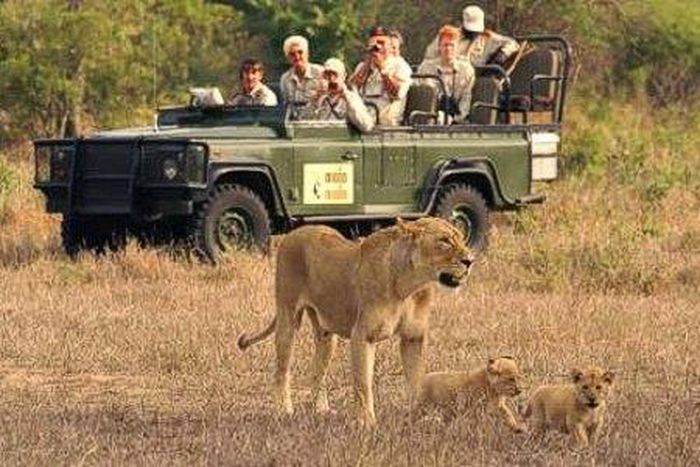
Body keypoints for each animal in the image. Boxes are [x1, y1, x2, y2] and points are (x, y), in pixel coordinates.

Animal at [237, 217, 474, 426]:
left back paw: (322, 411)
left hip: (326, 335)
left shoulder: (413, 338)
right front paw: (365, 422)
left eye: (462, 238)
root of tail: (295, 232)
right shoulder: (363, 335)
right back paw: (283, 410)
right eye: (444, 241)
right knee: (281, 371)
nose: (470, 260)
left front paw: (421, 417)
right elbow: (363, 383)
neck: (409, 285)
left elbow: (417, 380)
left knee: (316, 372)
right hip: (287, 317)